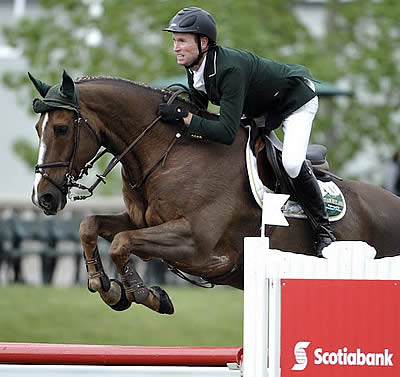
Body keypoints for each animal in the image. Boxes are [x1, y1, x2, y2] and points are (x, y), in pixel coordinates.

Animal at [29, 70, 400, 314]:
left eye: (61, 129)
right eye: (37, 128)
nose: (43, 198)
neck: (170, 151)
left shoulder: (196, 243)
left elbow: (121, 244)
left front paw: (143, 294)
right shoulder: (142, 222)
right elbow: (89, 225)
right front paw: (105, 286)